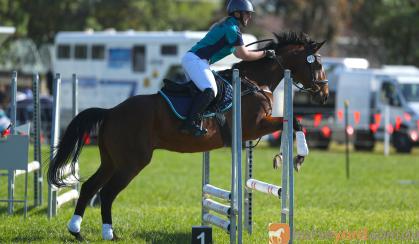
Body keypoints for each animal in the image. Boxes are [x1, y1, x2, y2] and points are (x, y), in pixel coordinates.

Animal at [46, 31, 328, 240]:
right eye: (318, 63)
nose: (324, 95)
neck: (254, 82)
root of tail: (111, 112)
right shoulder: (255, 126)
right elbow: (294, 122)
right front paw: (299, 157)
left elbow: (289, 124)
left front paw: (282, 158)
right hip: (132, 162)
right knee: (107, 193)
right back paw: (109, 234)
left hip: (111, 160)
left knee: (90, 187)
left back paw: (76, 231)